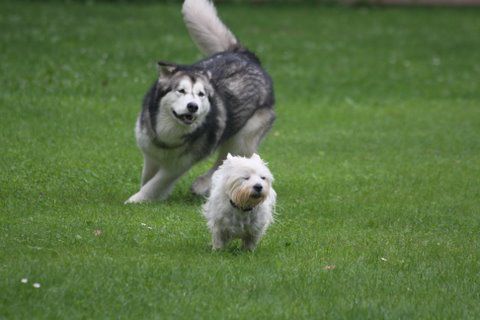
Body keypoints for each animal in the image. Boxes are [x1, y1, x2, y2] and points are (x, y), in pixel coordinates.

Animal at [125, 0, 276, 204]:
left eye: (201, 94)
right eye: (181, 91)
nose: (193, 106)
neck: (169, 135)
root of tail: (247, 56)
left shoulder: (178, 166)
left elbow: (156, 182)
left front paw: (137, 199)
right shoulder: (150, 155)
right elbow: (148, 178)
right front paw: (153, 198)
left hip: (243, 139)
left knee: (225, 161)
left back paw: (203, 184)